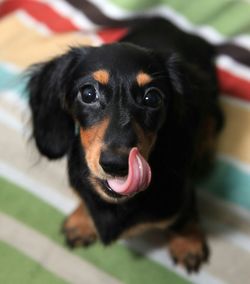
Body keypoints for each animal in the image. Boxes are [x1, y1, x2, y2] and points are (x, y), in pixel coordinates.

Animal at [27, 18, 223, 272]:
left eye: (152, 98)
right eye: (88, 93)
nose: (116, 164)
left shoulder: (181, 194)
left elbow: (184, 217)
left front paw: (188, 244)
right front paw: (81, 221)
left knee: (213, 120)